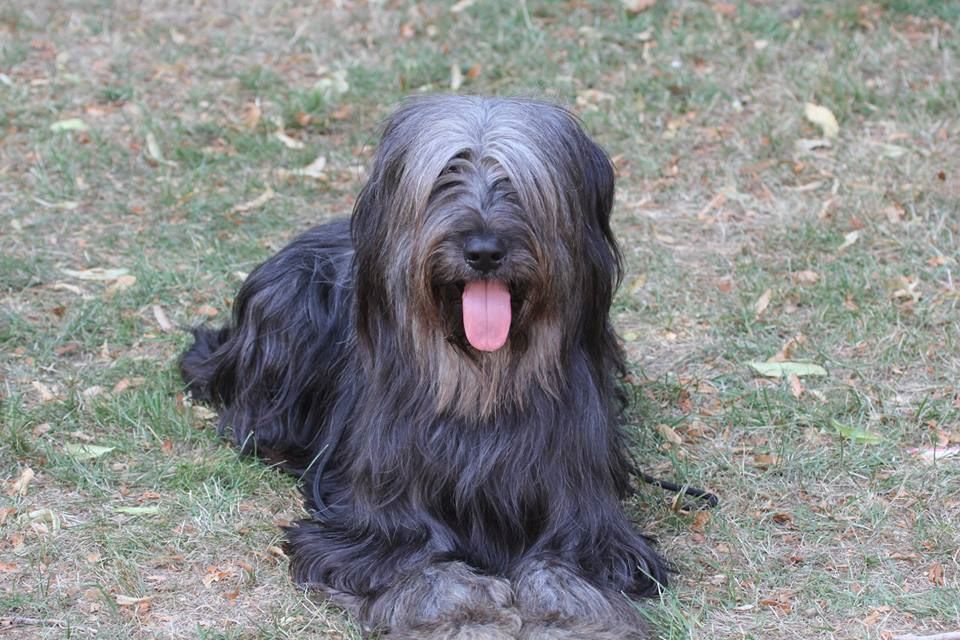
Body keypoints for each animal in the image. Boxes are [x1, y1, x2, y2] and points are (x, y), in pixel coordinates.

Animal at [180, 96, 668, 639]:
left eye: (517, 183)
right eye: (446, 177)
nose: (483, 251)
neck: (483, 385)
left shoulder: (587, 516)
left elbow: (565, 567)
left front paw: (568, 620)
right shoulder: (378, 525)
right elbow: (424, 564)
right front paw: (465, 615)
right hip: (288, 306)